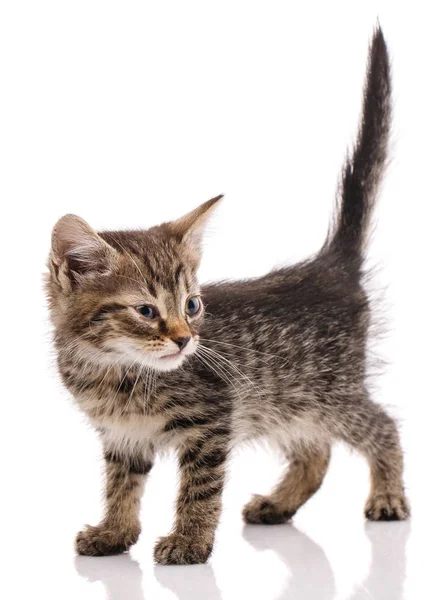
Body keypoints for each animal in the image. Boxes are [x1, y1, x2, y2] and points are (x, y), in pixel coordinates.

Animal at [46, 27, 408, 564]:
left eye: (192, 305)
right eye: (146, 311)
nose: (184, 340)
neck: (111, 369)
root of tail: (330, 266)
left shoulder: (212, 420)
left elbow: (200, 488)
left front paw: (189, 542)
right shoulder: (123, 437)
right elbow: (121, 485)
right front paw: (114, 533)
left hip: (329, 392)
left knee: (381, 426)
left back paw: (387, 495)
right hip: (288, 403)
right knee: (315, 450)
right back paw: (279, 504)